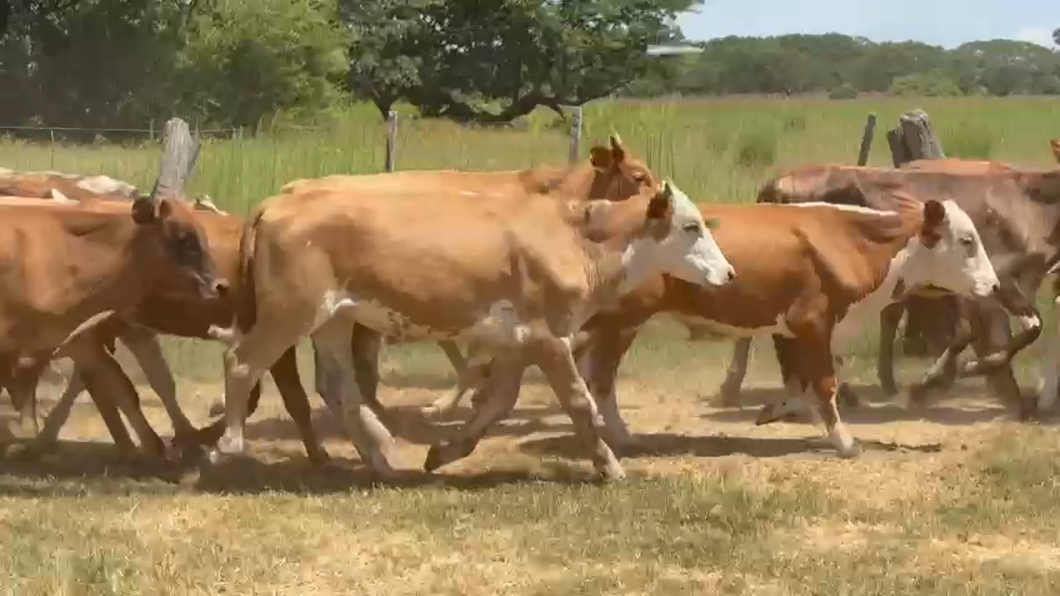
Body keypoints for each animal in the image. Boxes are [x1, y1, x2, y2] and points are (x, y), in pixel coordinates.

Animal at [205, 178, 734, 482]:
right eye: (691, 226)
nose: (728, 274)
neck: (573, 238)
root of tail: (276, 204)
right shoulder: (550, 336)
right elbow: (579, 402)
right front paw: (610, 465)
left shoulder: (519, 342)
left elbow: (497, 404)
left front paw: (444, 452)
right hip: (290, 312)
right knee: (241, 362)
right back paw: (228, 445)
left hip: (334, 318)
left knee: (337, 387)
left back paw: (380, 455)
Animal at [566, 196, 1001, 458]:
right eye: (967, 240)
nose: (995, 286)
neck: (852, 241)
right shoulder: (812, 321)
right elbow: (824, 383)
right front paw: (845, 442)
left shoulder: (801, 330)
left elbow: (806, 381)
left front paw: (775, 409)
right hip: (621, 321)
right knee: (601, 377)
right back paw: (621, 435)